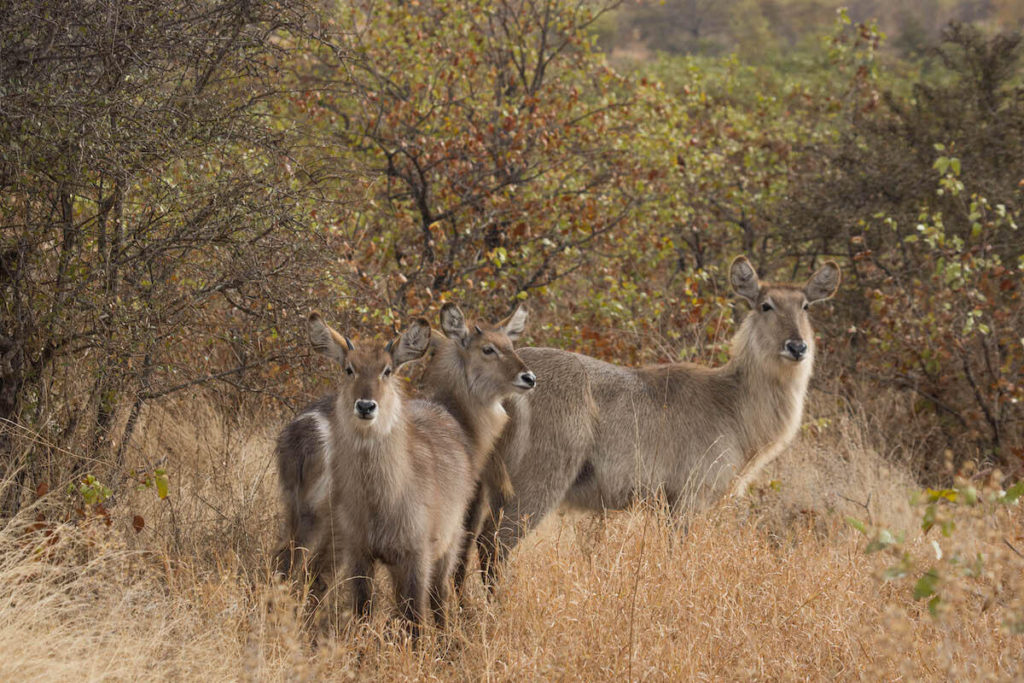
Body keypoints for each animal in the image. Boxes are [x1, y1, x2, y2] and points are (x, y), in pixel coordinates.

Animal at [274, 313, 477, 634]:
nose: (366, 406)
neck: (382, 500)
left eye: (387, 370)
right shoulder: (360, 553)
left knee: (439, 596)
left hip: (448, 542)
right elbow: (363, 611)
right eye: (349, 369)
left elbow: (415, 617)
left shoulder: (416, 556)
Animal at [471, 259, 839, 585]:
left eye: (806, 306)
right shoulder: (688, 498)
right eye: (766, 305)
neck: (731, 401)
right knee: (493, 544)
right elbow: (677, 556)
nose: (797, 346)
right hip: (536, 481)